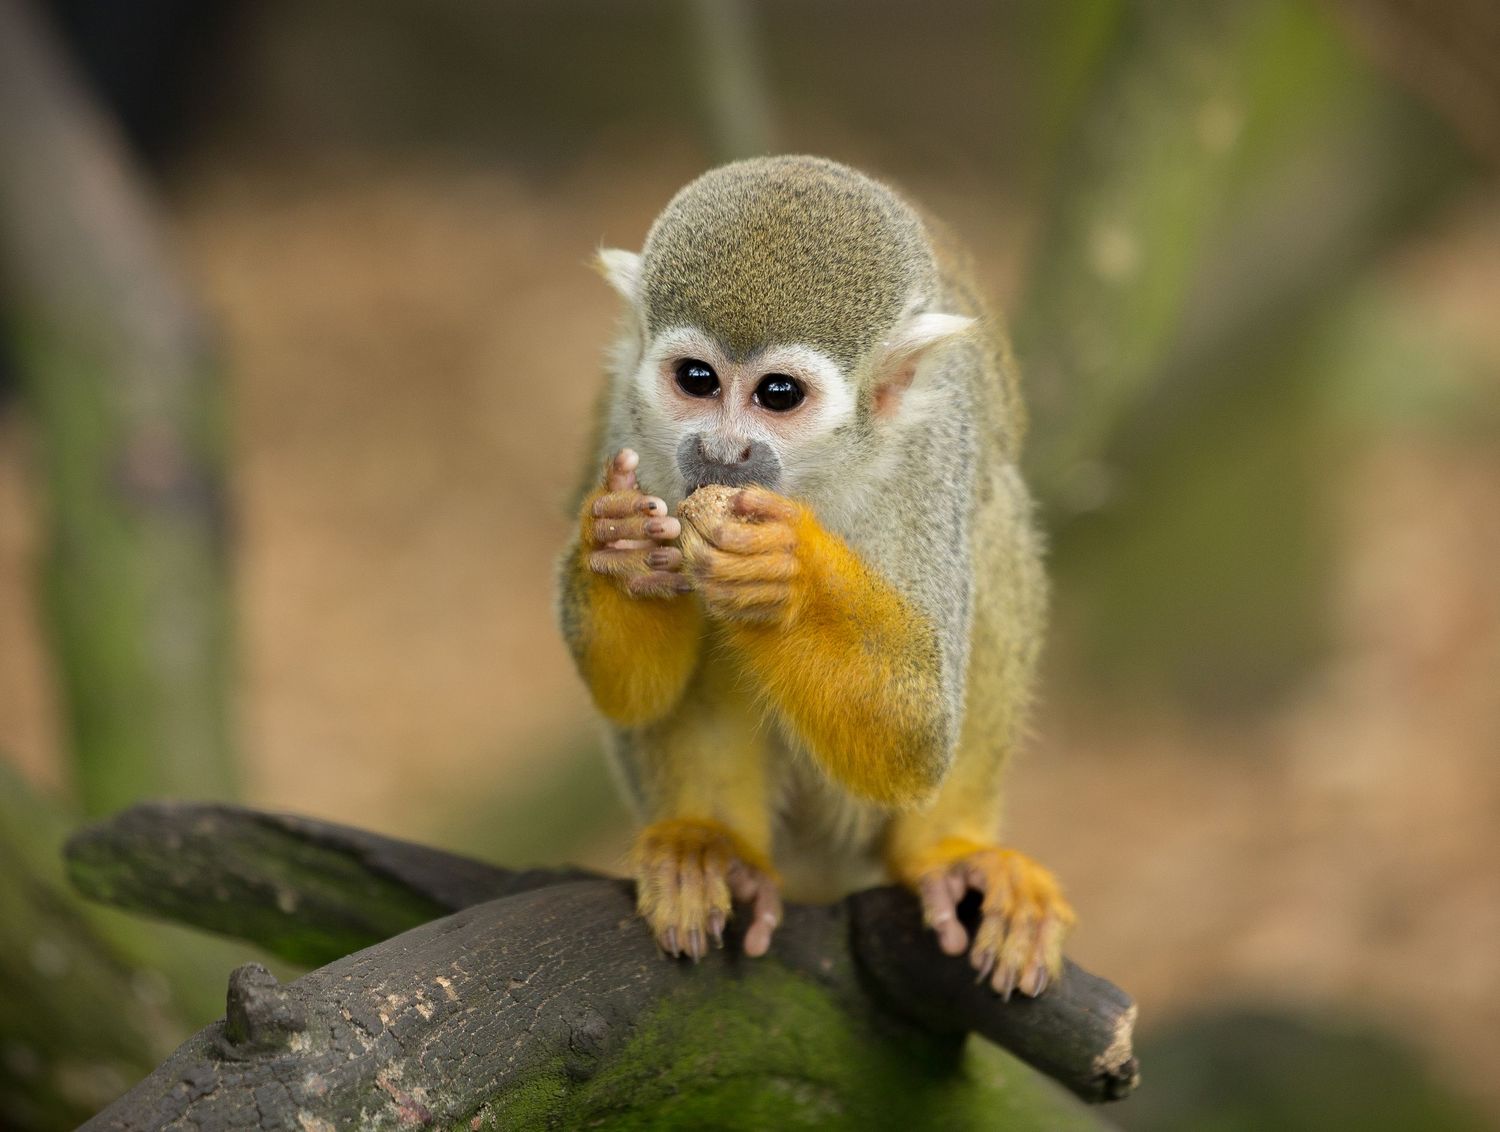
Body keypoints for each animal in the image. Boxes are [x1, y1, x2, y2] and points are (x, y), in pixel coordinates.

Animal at [556, 155, 1074, 998]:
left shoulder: (934, 447)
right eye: (696, 379)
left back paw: (947, 850)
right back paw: (712, 844)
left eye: (778, 395)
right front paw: (626, 552)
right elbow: (630, 691)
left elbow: (916, 731)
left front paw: (784, 578)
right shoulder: (630, 430)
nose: (724, 452)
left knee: (996, 521)